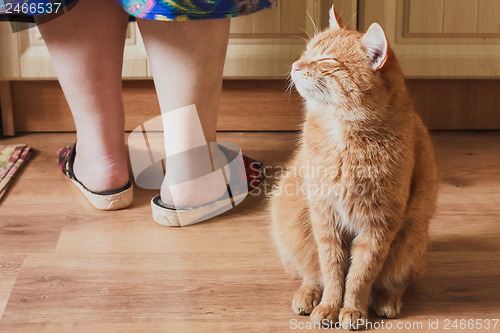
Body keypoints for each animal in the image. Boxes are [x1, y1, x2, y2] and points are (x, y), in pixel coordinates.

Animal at [270, 5, 438, 330]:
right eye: (307, 51)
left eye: (325, 59)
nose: (295, 65)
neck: (345, 138)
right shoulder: (325, 218)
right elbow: (333, 270)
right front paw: (329, 306)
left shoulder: (379, 226)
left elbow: (360, 275)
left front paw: (353, 310)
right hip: (294, 225)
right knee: (312, 273)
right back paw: (309, 296)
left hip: (411, 239)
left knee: (396, 280)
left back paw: (387, 300)